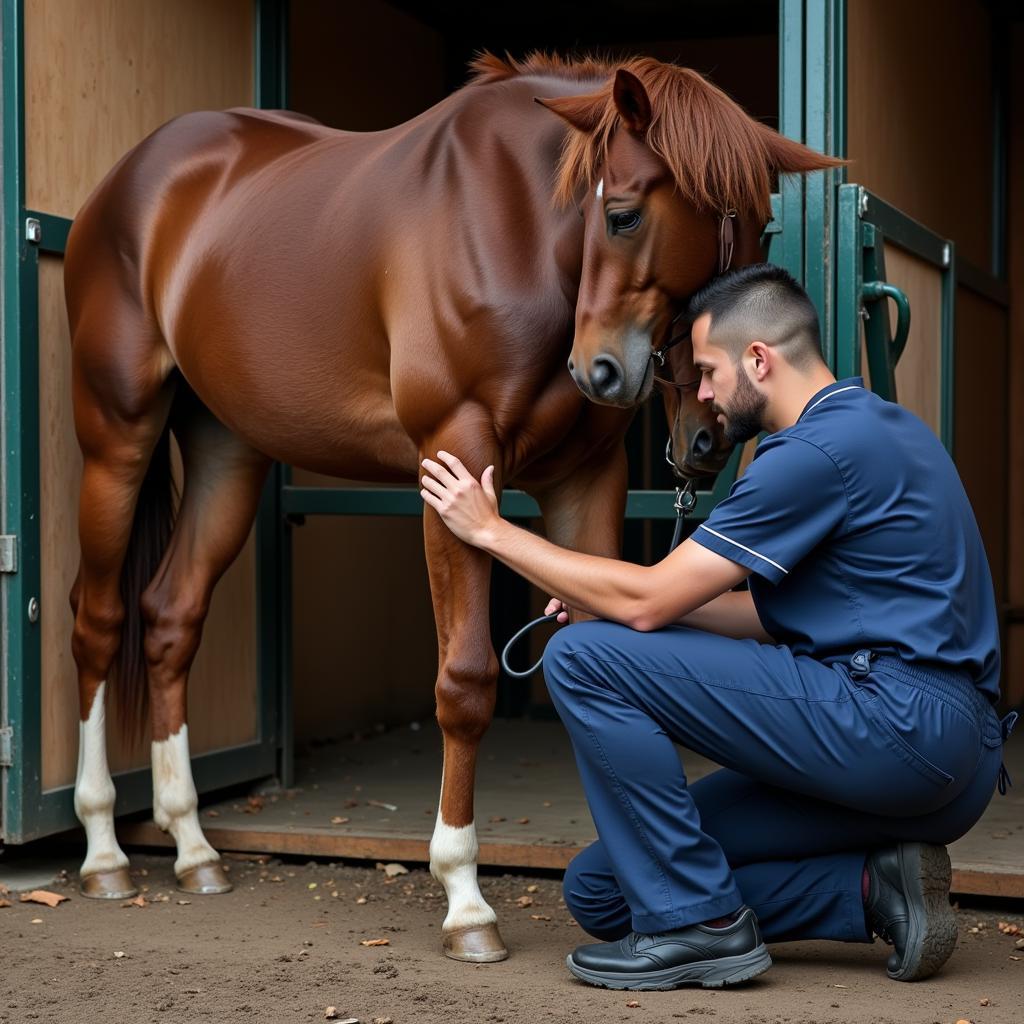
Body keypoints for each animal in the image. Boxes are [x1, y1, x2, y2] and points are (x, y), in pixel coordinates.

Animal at [64, 56, 835, 958]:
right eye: (619, 213)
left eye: (764, 227)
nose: (605, 372)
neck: (521, 235)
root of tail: (128, 181)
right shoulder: (455, 458)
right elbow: (465, 681)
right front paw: (465, 899)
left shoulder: (588, 479)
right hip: (117, 434)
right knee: (100, 619)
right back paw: (105, 852)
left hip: (228, 450)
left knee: (170, 615)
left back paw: (192, 848)